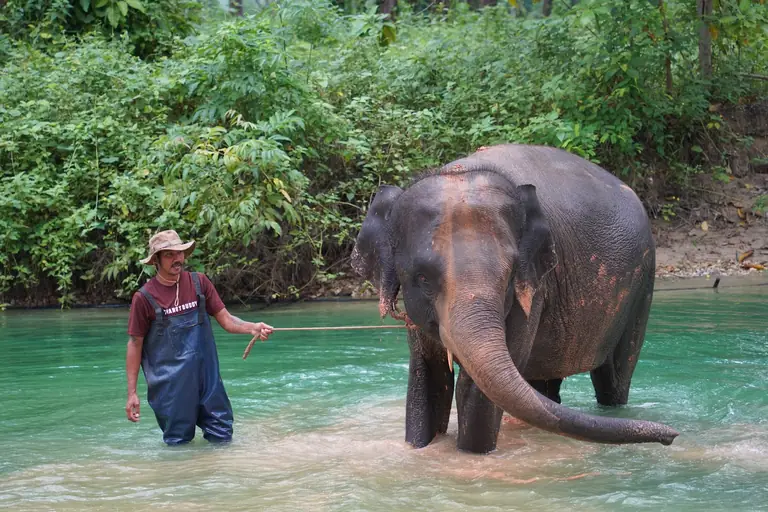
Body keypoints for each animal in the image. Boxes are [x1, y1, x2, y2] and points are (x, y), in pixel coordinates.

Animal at [351, 143, 679, 454]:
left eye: (509, 275)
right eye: (422, 278)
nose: (671, 436)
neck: (461, 171)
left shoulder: (534, 289)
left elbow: (475, 389)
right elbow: (428, 378)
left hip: (643, 284)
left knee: (614, 379)